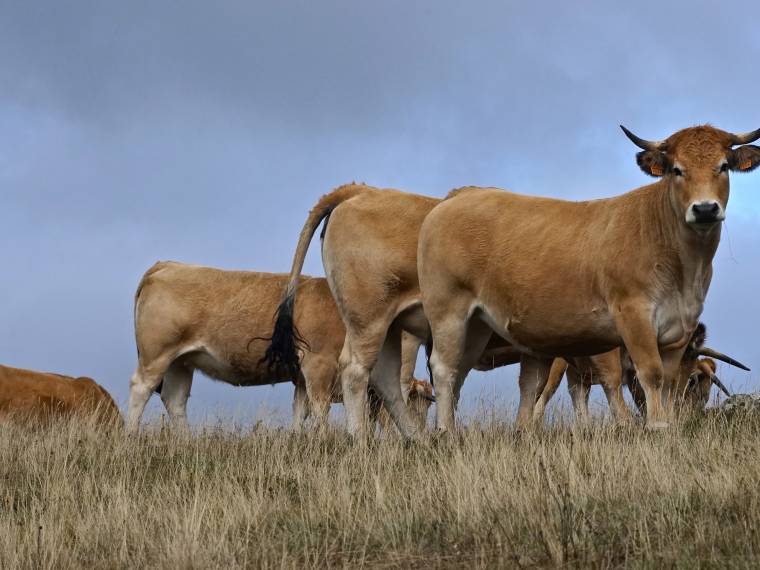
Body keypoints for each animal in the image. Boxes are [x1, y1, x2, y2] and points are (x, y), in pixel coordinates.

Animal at [125, 260, 434, 430]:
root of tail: (167, 265)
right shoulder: (318, 363)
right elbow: (320, 408)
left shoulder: (302, 377)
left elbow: (301, 411)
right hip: (156, 354)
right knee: (141, 388)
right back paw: (130, 437)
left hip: (181, 361)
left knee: (175, 400)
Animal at [418, 123, 756, 426]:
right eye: (676, 169)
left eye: (723, 166)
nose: (705, 209)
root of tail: (458, 196)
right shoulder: (631, 317)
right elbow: (647, 375)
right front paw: (654, 428)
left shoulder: (677, 330)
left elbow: (667, 382)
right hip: (448, 310)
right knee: (444, 370)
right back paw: (446, 432)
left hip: (477, 325)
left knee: (459, 373)